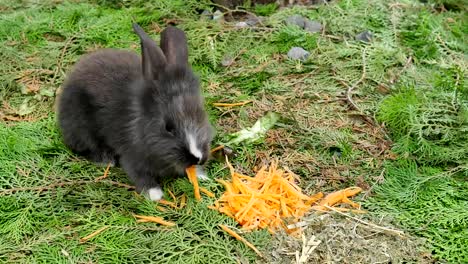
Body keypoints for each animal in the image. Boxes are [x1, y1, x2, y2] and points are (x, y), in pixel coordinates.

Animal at [56, 23, 214, 200]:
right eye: (168, 128)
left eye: (201, 116)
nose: (198, 158)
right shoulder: (132, 156)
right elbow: (141, 176)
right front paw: (155, 195)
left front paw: (201, 176)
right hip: (81, 128)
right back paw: (107, 160)